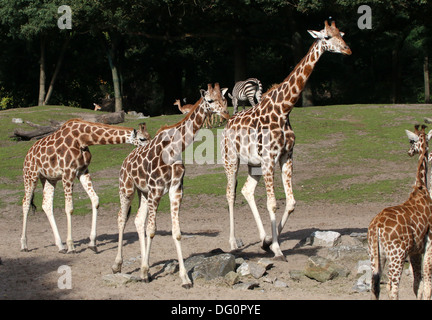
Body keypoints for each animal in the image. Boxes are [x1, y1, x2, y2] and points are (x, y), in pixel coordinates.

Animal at [20, 119, 150, 254]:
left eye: (149, 136)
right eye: (142, 139)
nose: (149, 148)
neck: (83, 138)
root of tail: (28, 154)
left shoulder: (82, 171)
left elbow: (95, 200)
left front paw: (92, 244)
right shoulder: (68, 172)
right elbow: (69, 208)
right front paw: (71, 246)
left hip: (49, 179)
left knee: (46, 205)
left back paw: (60, 246)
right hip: (30, 175)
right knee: (25, 203)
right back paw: (24, 245)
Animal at [113, 82, 231, 288]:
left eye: (224, 98)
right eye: (209, 100)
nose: (225, 113)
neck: (175, 148)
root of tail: (126, 160)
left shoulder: (175, 190)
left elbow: (176, 232)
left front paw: (184, 278)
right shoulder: (156, 190)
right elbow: (152, 230)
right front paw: (146, 273)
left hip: (143, 193)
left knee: (138, 220)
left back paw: (143, 266)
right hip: (127, 188)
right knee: (122, 218)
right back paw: (117, 265)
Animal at [221, 20, 352, 260]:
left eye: (341, 34)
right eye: (327, 37)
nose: (347, 50)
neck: (284, 109)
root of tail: (227, 124)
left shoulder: (286, 156)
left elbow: (290, 203)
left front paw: (269, 243)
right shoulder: (269, 158)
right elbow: (272, 203)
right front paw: (277, 249)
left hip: (254, 164)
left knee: (246, 190)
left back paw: (263, 238)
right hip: (231, 159)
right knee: (230, 194)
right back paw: (233, 243)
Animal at [368, 125, 432, 300]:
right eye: (411, 140)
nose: (409, 152)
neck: (422, 188)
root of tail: (376, 227)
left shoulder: (415, 250)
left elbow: (417, 283)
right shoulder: (428, 243)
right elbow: (426, 280)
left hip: (375, 255)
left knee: (374, 285)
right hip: (397, 255)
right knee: (393, 286)